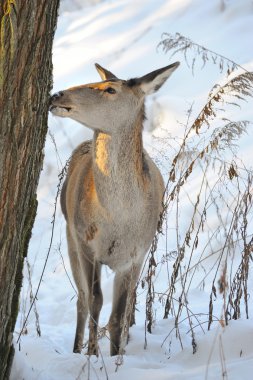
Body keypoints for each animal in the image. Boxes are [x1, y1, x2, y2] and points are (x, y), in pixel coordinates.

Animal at [49, 61, 180, 356]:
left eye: (110, 89)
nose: (56, 95)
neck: (116, 221)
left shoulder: (135, 255)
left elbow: (119, 313)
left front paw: (116, 355)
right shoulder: (85, 243)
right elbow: (95, 300)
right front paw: (91, 354)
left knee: (129, 303)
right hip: (70, 235)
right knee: (82, 298)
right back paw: (76, 349)